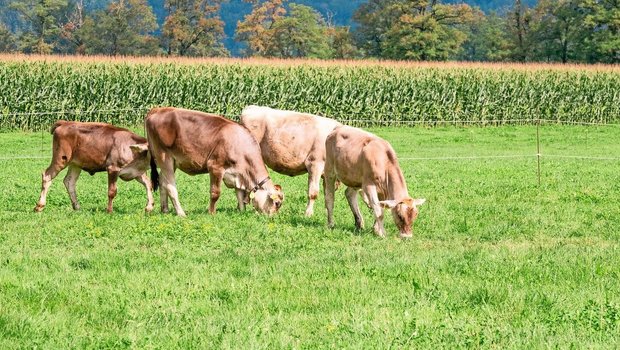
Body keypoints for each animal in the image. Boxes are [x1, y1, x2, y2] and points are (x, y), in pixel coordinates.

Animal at [145, 106, 284, 216]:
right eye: (277, 203)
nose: (273, 217)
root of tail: (157, 109)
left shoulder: (238, 173)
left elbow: (239, 194)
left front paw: (241, 211)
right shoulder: (215, 167)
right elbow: (215, 193)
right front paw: (211, 212)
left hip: (172, 161)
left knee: (162, 182)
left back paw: (165, 210)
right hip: (164, 157)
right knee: (170, 186)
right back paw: (181, 213)